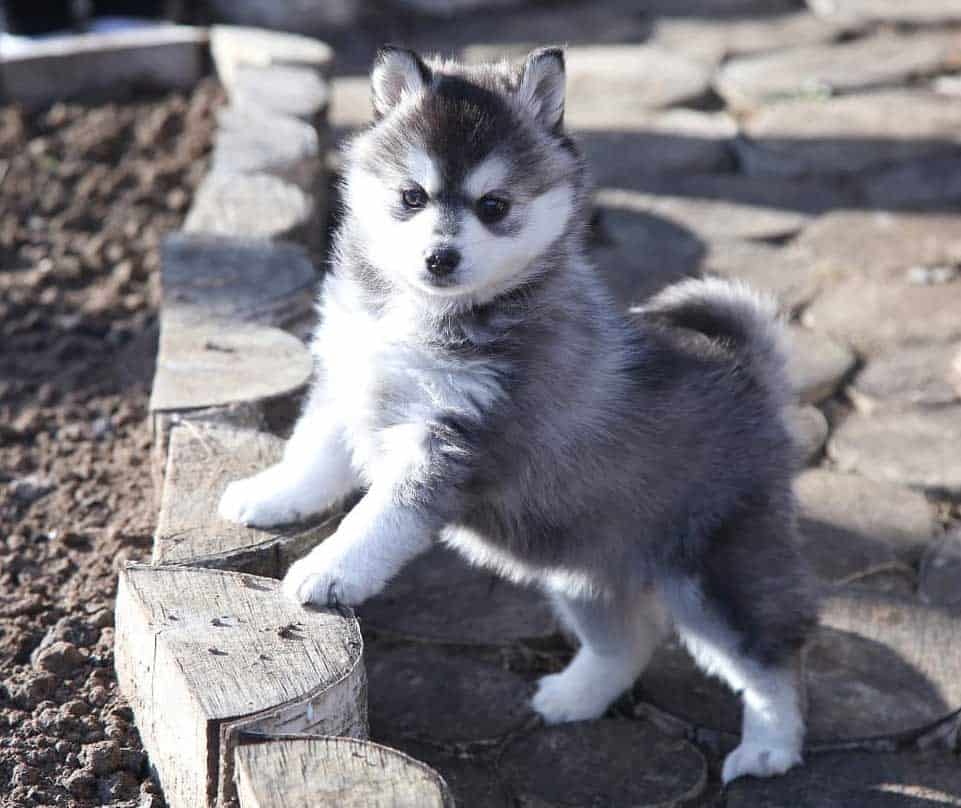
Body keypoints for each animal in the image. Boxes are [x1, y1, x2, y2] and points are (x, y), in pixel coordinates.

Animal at [218, 42, 816, 784]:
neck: (425, 316)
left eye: (493, 205)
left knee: (769, 660)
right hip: (579, 560)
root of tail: (747, 373)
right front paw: (270, 495)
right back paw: (574, 695)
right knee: (629, 636)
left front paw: (330, 569)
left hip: (719, 569)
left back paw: (768, 746)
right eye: (411, 197)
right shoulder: (350, 381)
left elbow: (379, 516)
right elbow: (312, 452)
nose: (439, 257)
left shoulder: (452, 439)